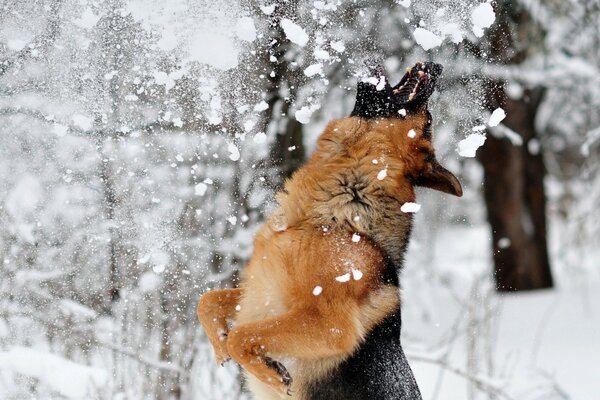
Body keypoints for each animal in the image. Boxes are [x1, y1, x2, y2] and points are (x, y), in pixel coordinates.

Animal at [199, 62, 462, 400]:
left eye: (427, 121)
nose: (436, 65)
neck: (335, 218)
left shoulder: (330, 325)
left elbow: (241, 335)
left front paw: (269, 373)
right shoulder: (260, 292)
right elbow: (208, 301)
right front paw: (220, 345)